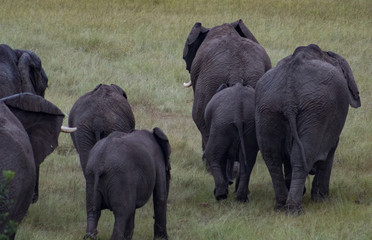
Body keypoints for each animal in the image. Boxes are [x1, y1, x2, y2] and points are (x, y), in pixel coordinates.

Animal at [256, 44, 360, 213]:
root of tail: (289, 93)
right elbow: (329, 152)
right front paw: (322, 200)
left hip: (267, 107)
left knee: (272, 157)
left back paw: (281, 205)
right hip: (316, 110)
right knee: (302, 155)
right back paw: (294, 210)